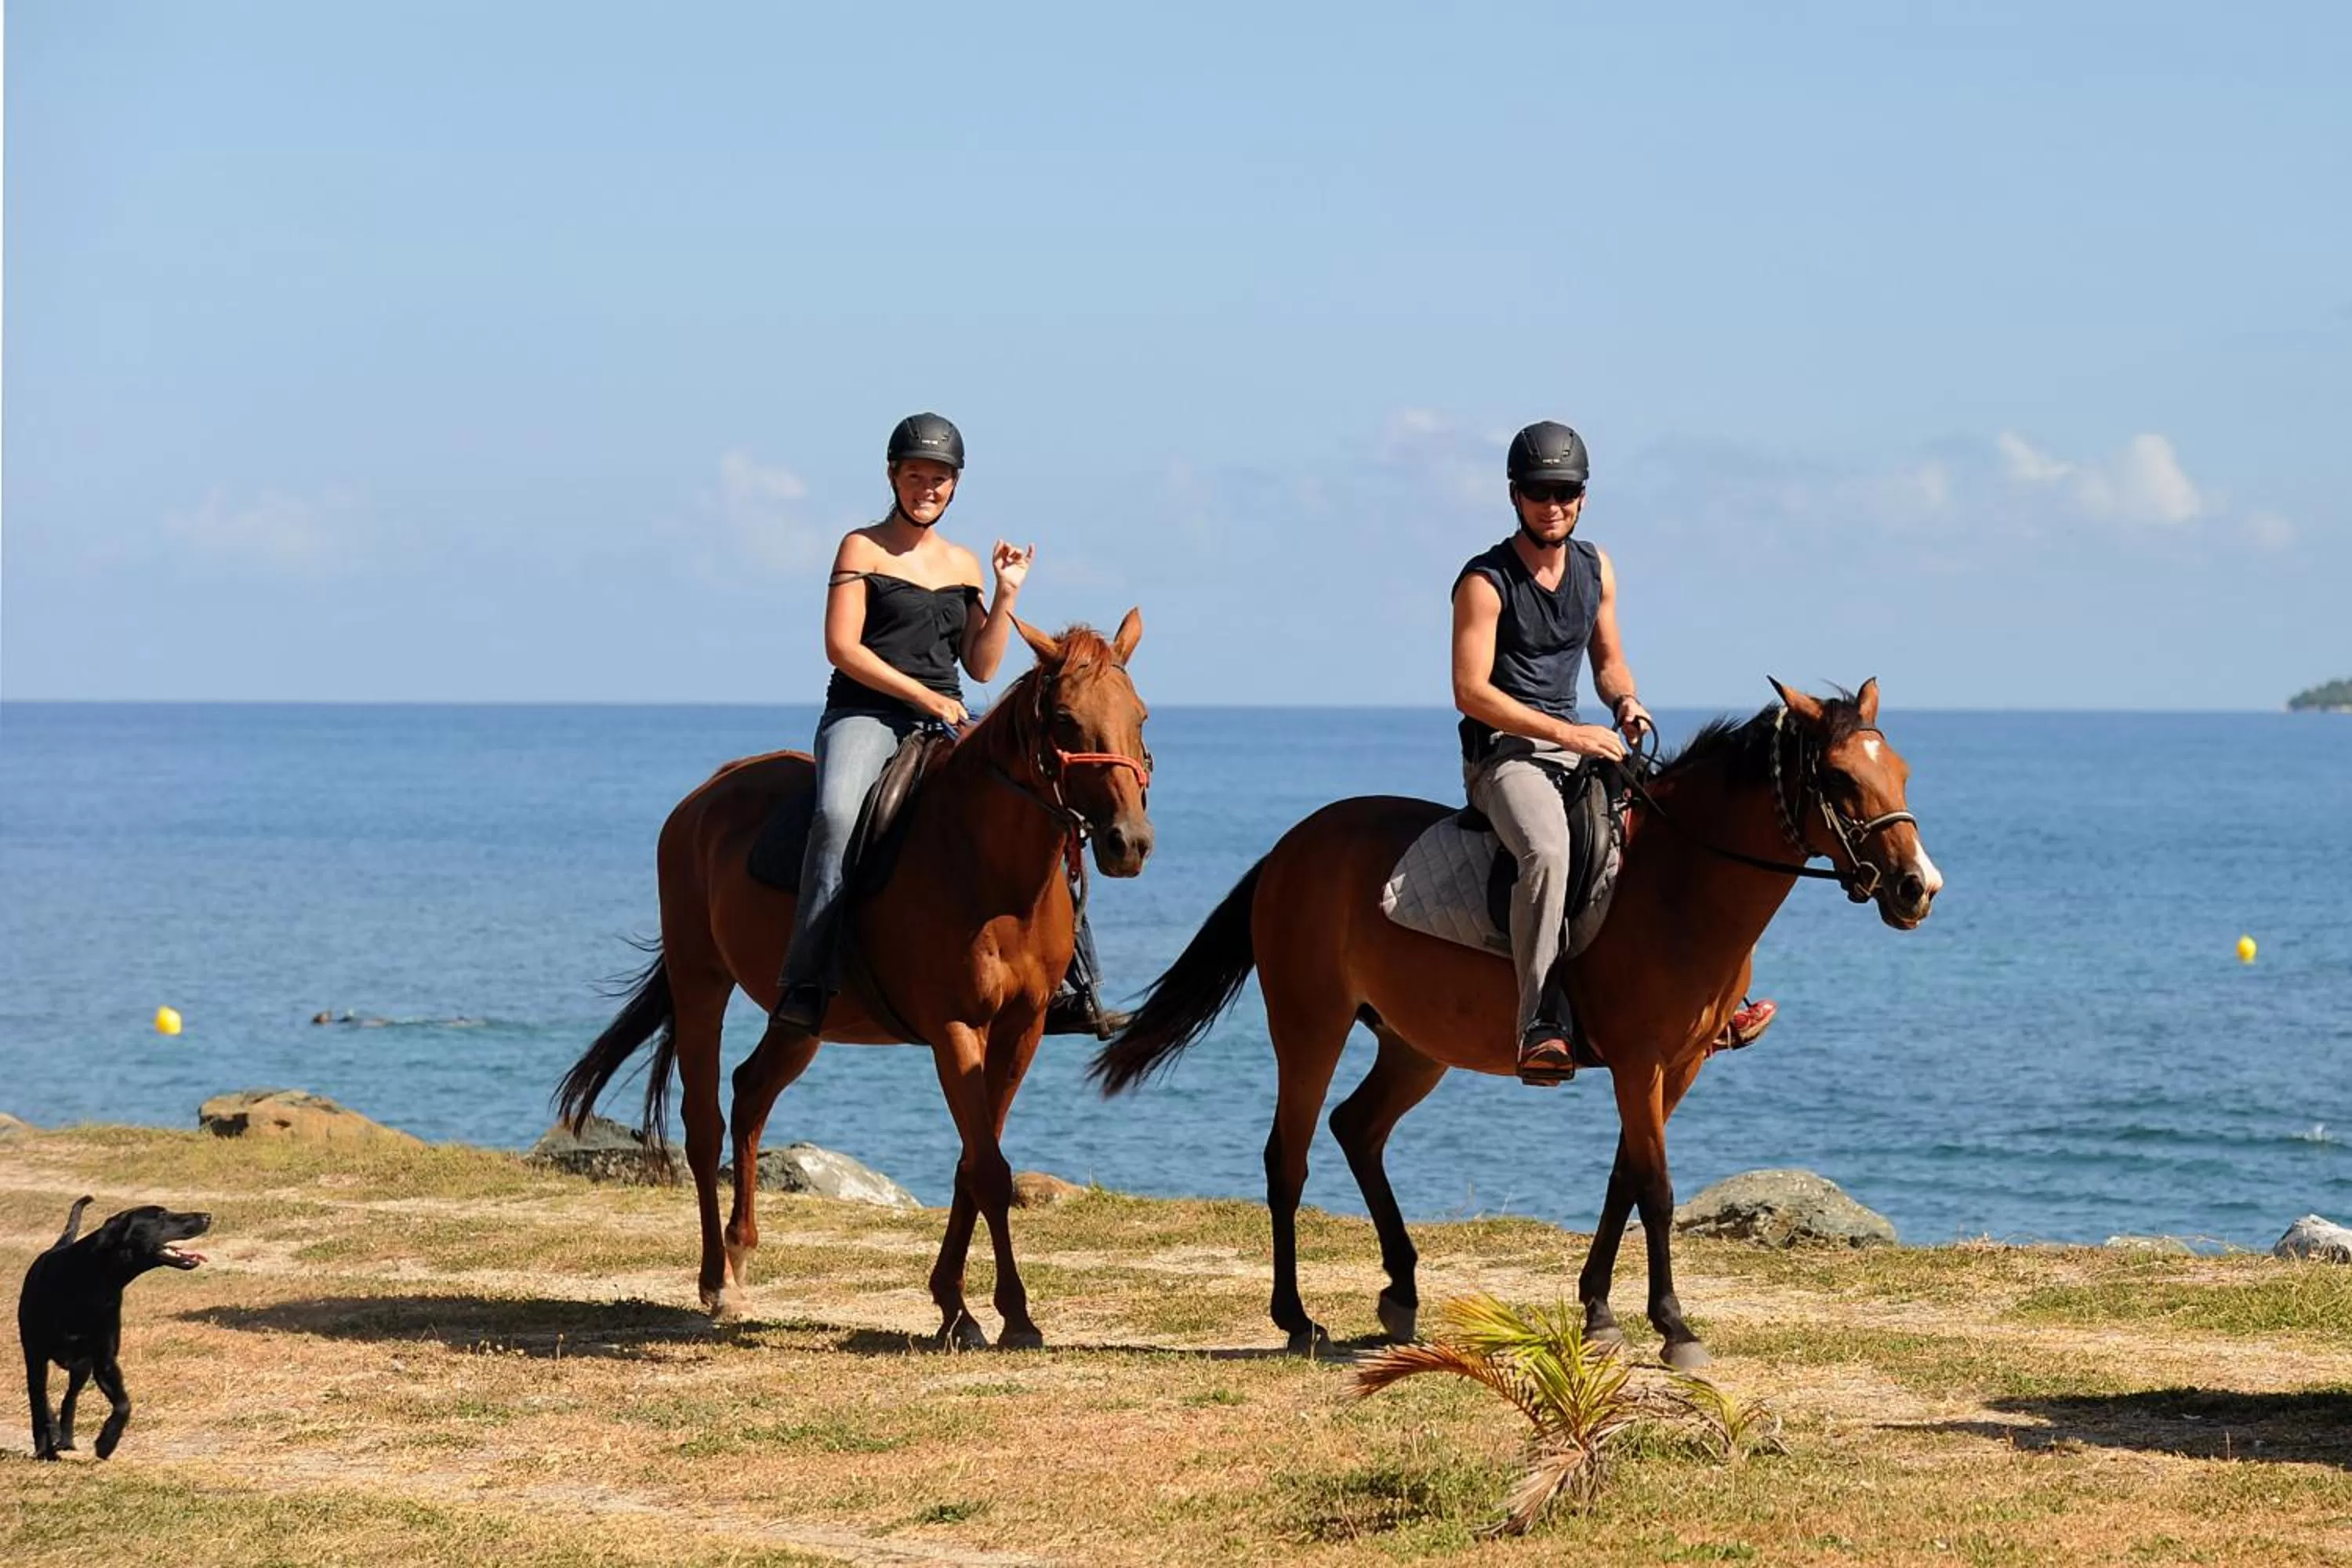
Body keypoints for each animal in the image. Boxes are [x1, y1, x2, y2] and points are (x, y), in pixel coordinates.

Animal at [558, 613, 1154, 1350]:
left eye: (1139, 716)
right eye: (1067, 720)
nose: (1130, 842)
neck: (985, 864)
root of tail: (704, 797)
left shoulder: (1024, 1028)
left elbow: (972, 1163)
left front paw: (955, 1303)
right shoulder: (955, 1028)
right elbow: (988, 1169)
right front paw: (1005, 1314)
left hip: (803, 1020)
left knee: (751, 1094)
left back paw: (741, 1250)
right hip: (701, 985)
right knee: (705, 1124)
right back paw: (716, 1281)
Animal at [1090, 679, 1939, 1369]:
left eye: (1900, 771)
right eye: (1840, 778)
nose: (1917, 886)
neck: (1678, 884)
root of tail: (1291, 847)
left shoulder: (1679, 1065)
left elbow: (1624, 1179)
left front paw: (1598, 1311)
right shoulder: (1640, 1062)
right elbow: (1657, 1188)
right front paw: (1674, 1326)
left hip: (1414, 1045)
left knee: (1357, 1128)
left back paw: (1401, 1288)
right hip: (1310, 1027)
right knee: (1287, 1158)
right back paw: (1297, 1317)